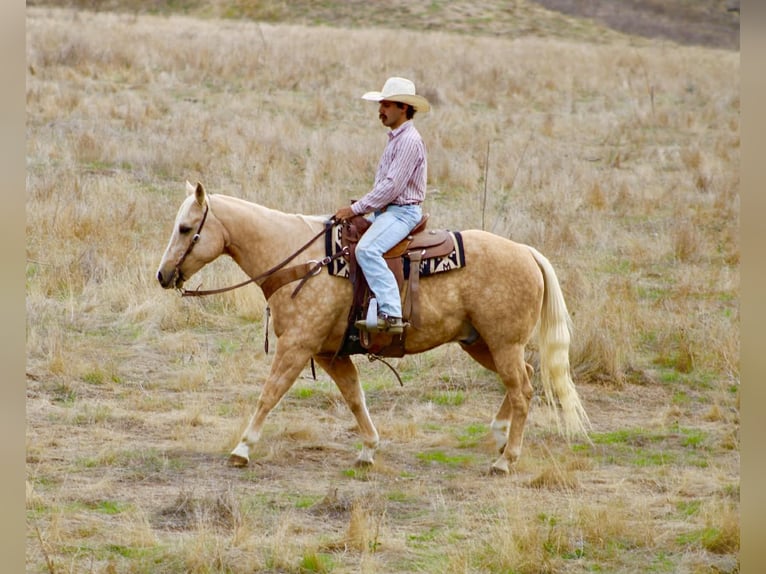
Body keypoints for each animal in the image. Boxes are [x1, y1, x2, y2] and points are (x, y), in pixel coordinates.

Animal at [156, 181, 590, 474]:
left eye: (185, 228)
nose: (163, 275)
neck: (302, 261)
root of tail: (528, 253)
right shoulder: (327, 353)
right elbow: (354, 397)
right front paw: (368, 449)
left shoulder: (296, 346)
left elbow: (269, 394)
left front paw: (242, 449)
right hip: (480, 342)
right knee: (523, 379)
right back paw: (500, 436)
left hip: (503, 343)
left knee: (523, 390)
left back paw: (507, 459)